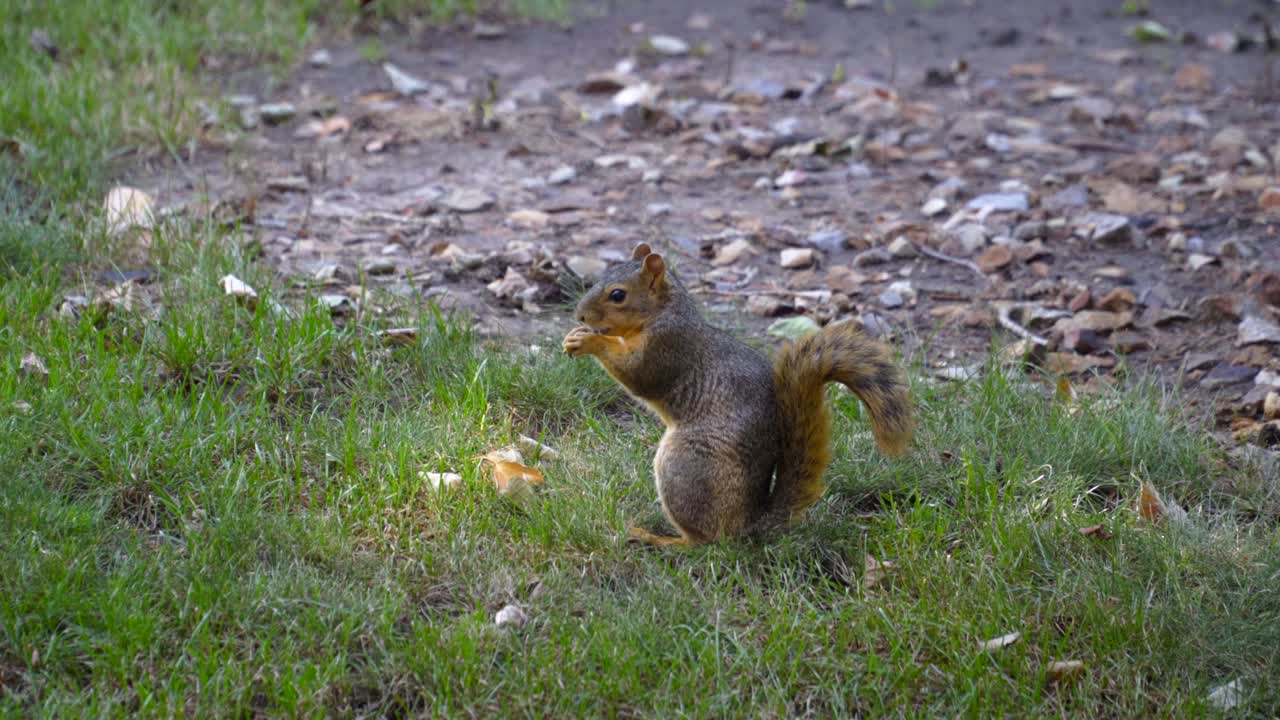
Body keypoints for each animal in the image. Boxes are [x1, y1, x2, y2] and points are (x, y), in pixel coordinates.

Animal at [562, 243, 914, 547]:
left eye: (617, 295)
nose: (580, 316)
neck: (663, 314)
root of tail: (746, 525)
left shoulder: (667, 349)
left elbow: (637, 375)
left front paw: (589, 341)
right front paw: (575, 336)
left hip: (685, 466)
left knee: (704, 541)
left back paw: (660, 539)